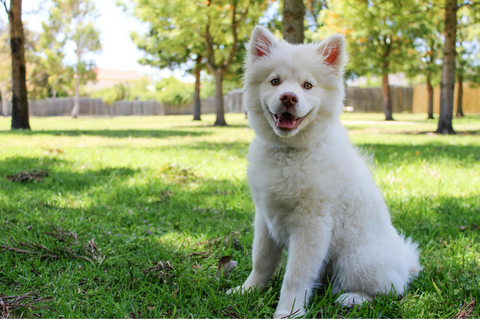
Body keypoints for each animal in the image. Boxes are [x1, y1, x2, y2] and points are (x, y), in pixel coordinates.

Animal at [229, 26, 420, 318]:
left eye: (307, 85)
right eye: (275, 81)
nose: (288, 97)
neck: (290, 152)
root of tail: (404, 263)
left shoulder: (312, 225)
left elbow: (295, 275)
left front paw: (289, 311)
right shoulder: (265, 218)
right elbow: (260, 261)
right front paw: (248, 291)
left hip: (356, 261)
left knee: (390, 291)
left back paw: (353, 298)